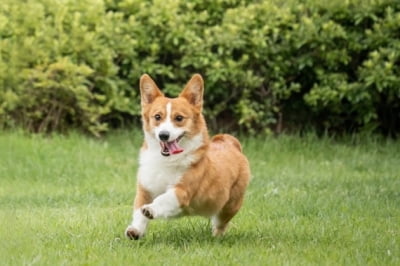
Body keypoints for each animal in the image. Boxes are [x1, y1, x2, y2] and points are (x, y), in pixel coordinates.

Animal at [125, 73, 250, 239]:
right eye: (157, 117)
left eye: (179, 118)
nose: (163, 135)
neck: (165, 161)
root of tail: (230, 142)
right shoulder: (144, 190)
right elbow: (138, 212)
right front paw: (135, 230)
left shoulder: (181, 192)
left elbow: (162, 199)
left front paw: (150, 209)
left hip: (230, 206)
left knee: (221, 223)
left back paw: (216, 237)